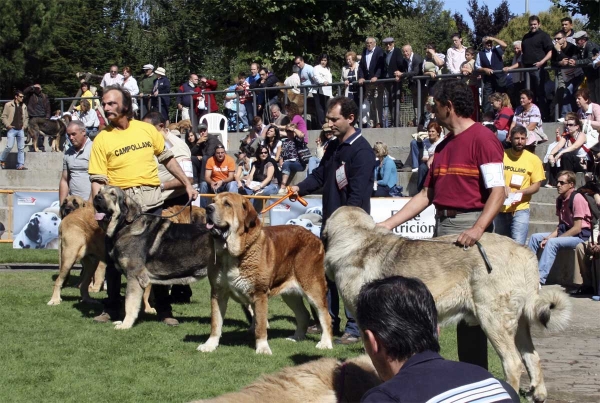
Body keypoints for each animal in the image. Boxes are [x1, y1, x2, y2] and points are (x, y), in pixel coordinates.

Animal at [92, 188, 214, 330]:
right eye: (100, 191)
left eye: (113, 194)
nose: (97, 197)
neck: (125, 226)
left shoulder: (134, 276)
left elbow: (129, 303)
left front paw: (125, 324)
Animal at [200, 192, 332, 354]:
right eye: (213, 201)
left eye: (227, 204)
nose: (208, 208)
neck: (229, 253)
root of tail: (316, 238)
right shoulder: (217, 293)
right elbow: (216, 322)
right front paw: (209, 345)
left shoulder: (259, 294)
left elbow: (260, 325)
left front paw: (262, 348)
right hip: (290, 294)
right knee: (303, 314)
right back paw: (296, 337)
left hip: (312, 288)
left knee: (325, 315)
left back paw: (325, 343)